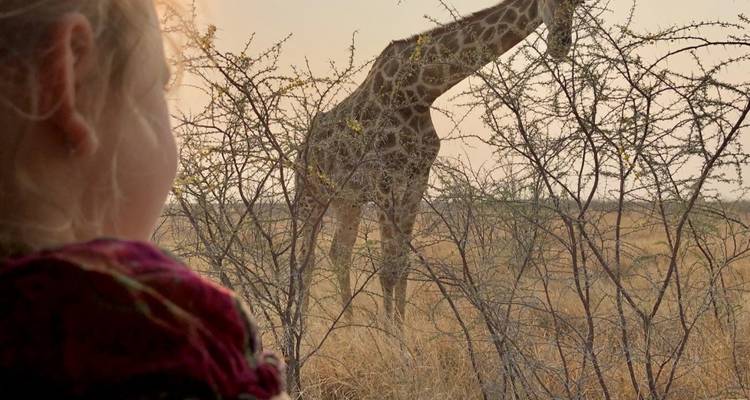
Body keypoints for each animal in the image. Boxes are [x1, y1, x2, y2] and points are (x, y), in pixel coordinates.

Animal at [295, 0, 582, 325]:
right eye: (547, 2)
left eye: (578, 4)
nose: (560, 44)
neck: (419, 92)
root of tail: (301, 148)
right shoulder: (384, 176)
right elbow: (388, 265)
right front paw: (389, 332)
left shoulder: (418, 175)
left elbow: (402, 262)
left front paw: (400, 328)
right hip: (311, 194)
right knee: (306, 258)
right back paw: (301, 324)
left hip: (348, 200)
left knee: (338, 252)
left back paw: (347, 322)